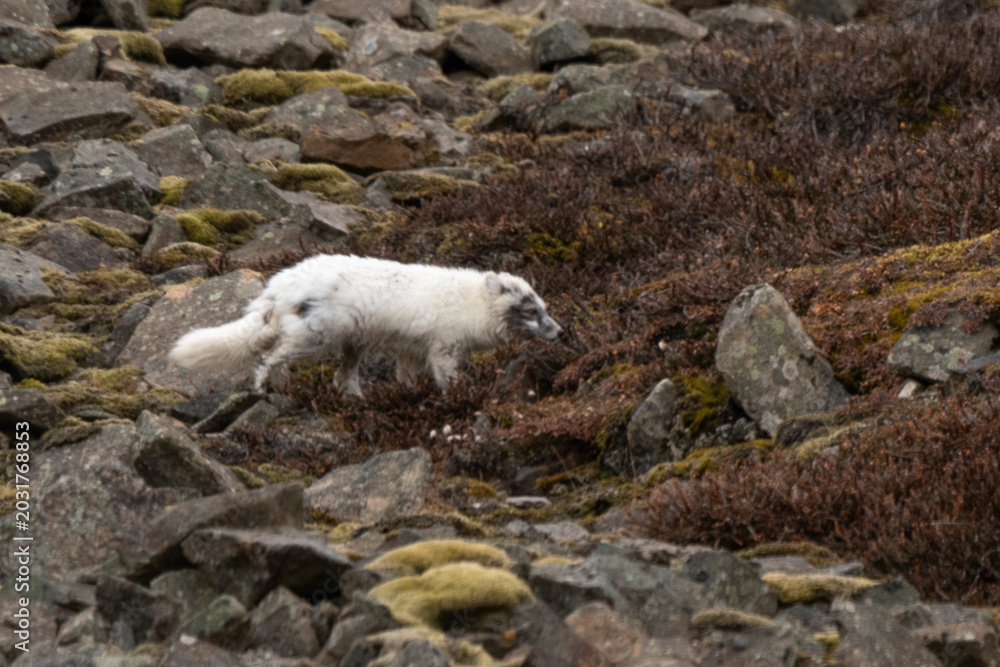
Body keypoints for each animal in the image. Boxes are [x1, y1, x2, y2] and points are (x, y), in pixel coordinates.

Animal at [169, 254, 563, 397]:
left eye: (544, 308)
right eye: (530, 311)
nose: (560, 332)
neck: (471, 304)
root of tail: (277, 288)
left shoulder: (412, 349)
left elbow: (407, 377)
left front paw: (407, 395)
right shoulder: (443, 347)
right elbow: (448, 378)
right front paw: (458, 396)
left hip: (350, 343)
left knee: (339, 375)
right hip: (316, 335)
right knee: (269, 357)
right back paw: (263, 387)